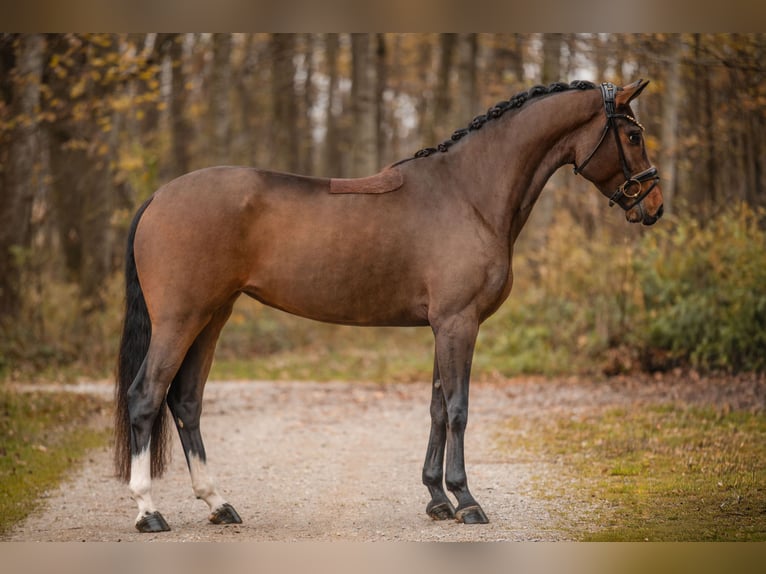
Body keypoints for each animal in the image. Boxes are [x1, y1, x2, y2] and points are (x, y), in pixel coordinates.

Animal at [114, 80, 663, 532]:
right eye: (633, 135)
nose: (654, 205)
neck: (470, 193)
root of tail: (159, 197)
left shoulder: (444, 325)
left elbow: (437, 407)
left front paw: (437, 498)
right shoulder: (459, 323)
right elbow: (459, 408)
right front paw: (466, 501)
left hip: (213, 317)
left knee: (186, 401)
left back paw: (218, 504)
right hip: (181, 320)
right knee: (146, 396)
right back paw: (148, 512)